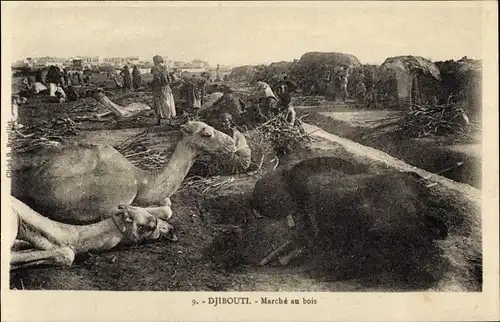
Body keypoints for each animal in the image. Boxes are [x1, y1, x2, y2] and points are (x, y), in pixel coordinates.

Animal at [11, 121, 238, 224]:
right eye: (207, 133)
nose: (232, 143)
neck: (142, 180)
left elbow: (166, 201)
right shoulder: (111, 204)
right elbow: (167, 210)